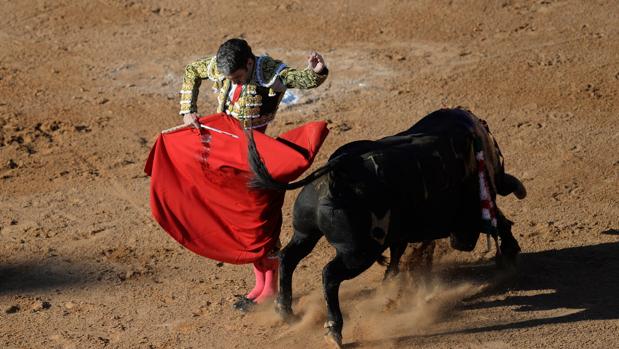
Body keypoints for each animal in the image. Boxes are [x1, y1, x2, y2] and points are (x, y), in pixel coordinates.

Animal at [245, 107, 524, 346]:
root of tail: (337, 170)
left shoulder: (401, 231)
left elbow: (397, 253)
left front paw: (390, 284)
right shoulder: (472, 213)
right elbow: (500, 222)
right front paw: (509, 255)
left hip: (305, 233)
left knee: (288, 258)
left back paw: (285, 310)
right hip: (358, 252)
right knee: (329, 275)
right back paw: (334, 329)